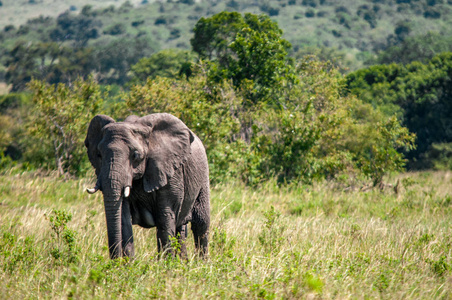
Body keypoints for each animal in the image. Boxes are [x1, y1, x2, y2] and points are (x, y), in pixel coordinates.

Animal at [84, 113, 210, 258]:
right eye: (99, 155)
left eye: (135, 155)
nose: (115, 260)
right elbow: (123, 218)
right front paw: (129, 263)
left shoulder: (171, 172)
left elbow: (165, 217)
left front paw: (166, 263)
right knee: (181, 229)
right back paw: (183, 262)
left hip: (202, 176)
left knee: (201, 223)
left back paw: (201, 262)